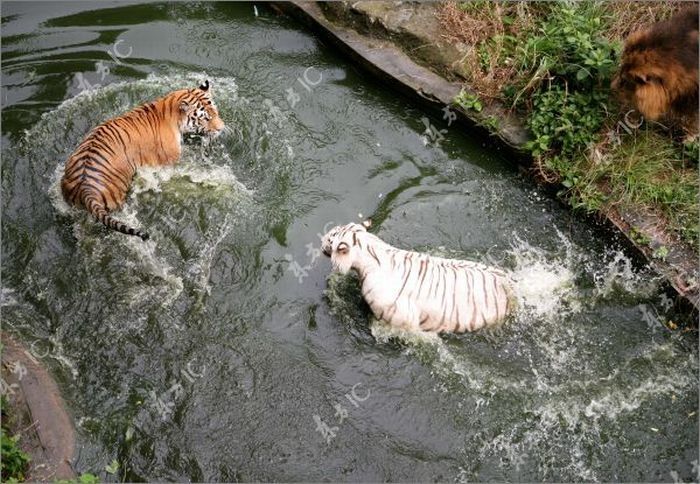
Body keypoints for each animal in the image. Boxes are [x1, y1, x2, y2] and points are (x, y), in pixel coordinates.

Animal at [61, 80, 224, 241]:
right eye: (205, 118)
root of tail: (86, 188)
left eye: (215, 112)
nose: (222, 128)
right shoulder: (170, 162)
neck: (169, 105)